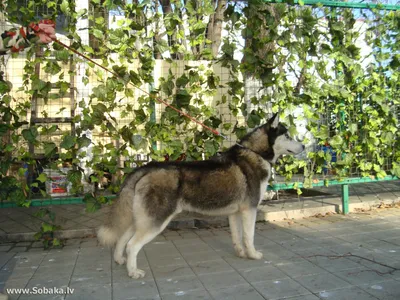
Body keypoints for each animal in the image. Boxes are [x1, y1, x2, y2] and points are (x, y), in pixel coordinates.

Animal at [97, 113, 304, 278]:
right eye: (287, 135)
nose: (303, 146)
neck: (255, 153)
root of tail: (146, 167)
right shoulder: (249, 210)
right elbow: (249, 237)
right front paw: (253, 255)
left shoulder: (235, 213)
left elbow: (237, 237)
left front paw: (240, 253)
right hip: (155, 221)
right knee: (132, 245)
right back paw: (133, 272)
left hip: (141, 218)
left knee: (122, 238)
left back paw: (119, 260)